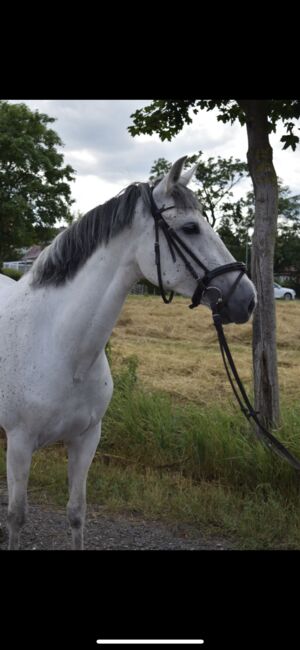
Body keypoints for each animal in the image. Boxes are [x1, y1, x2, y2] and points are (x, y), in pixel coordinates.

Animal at [0, 157, 255, 548]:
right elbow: (16, 516)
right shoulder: (19, 443)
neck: (58, 346)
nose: (248, 299)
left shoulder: (86, 439)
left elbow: (76, 513)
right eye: (191, 227)